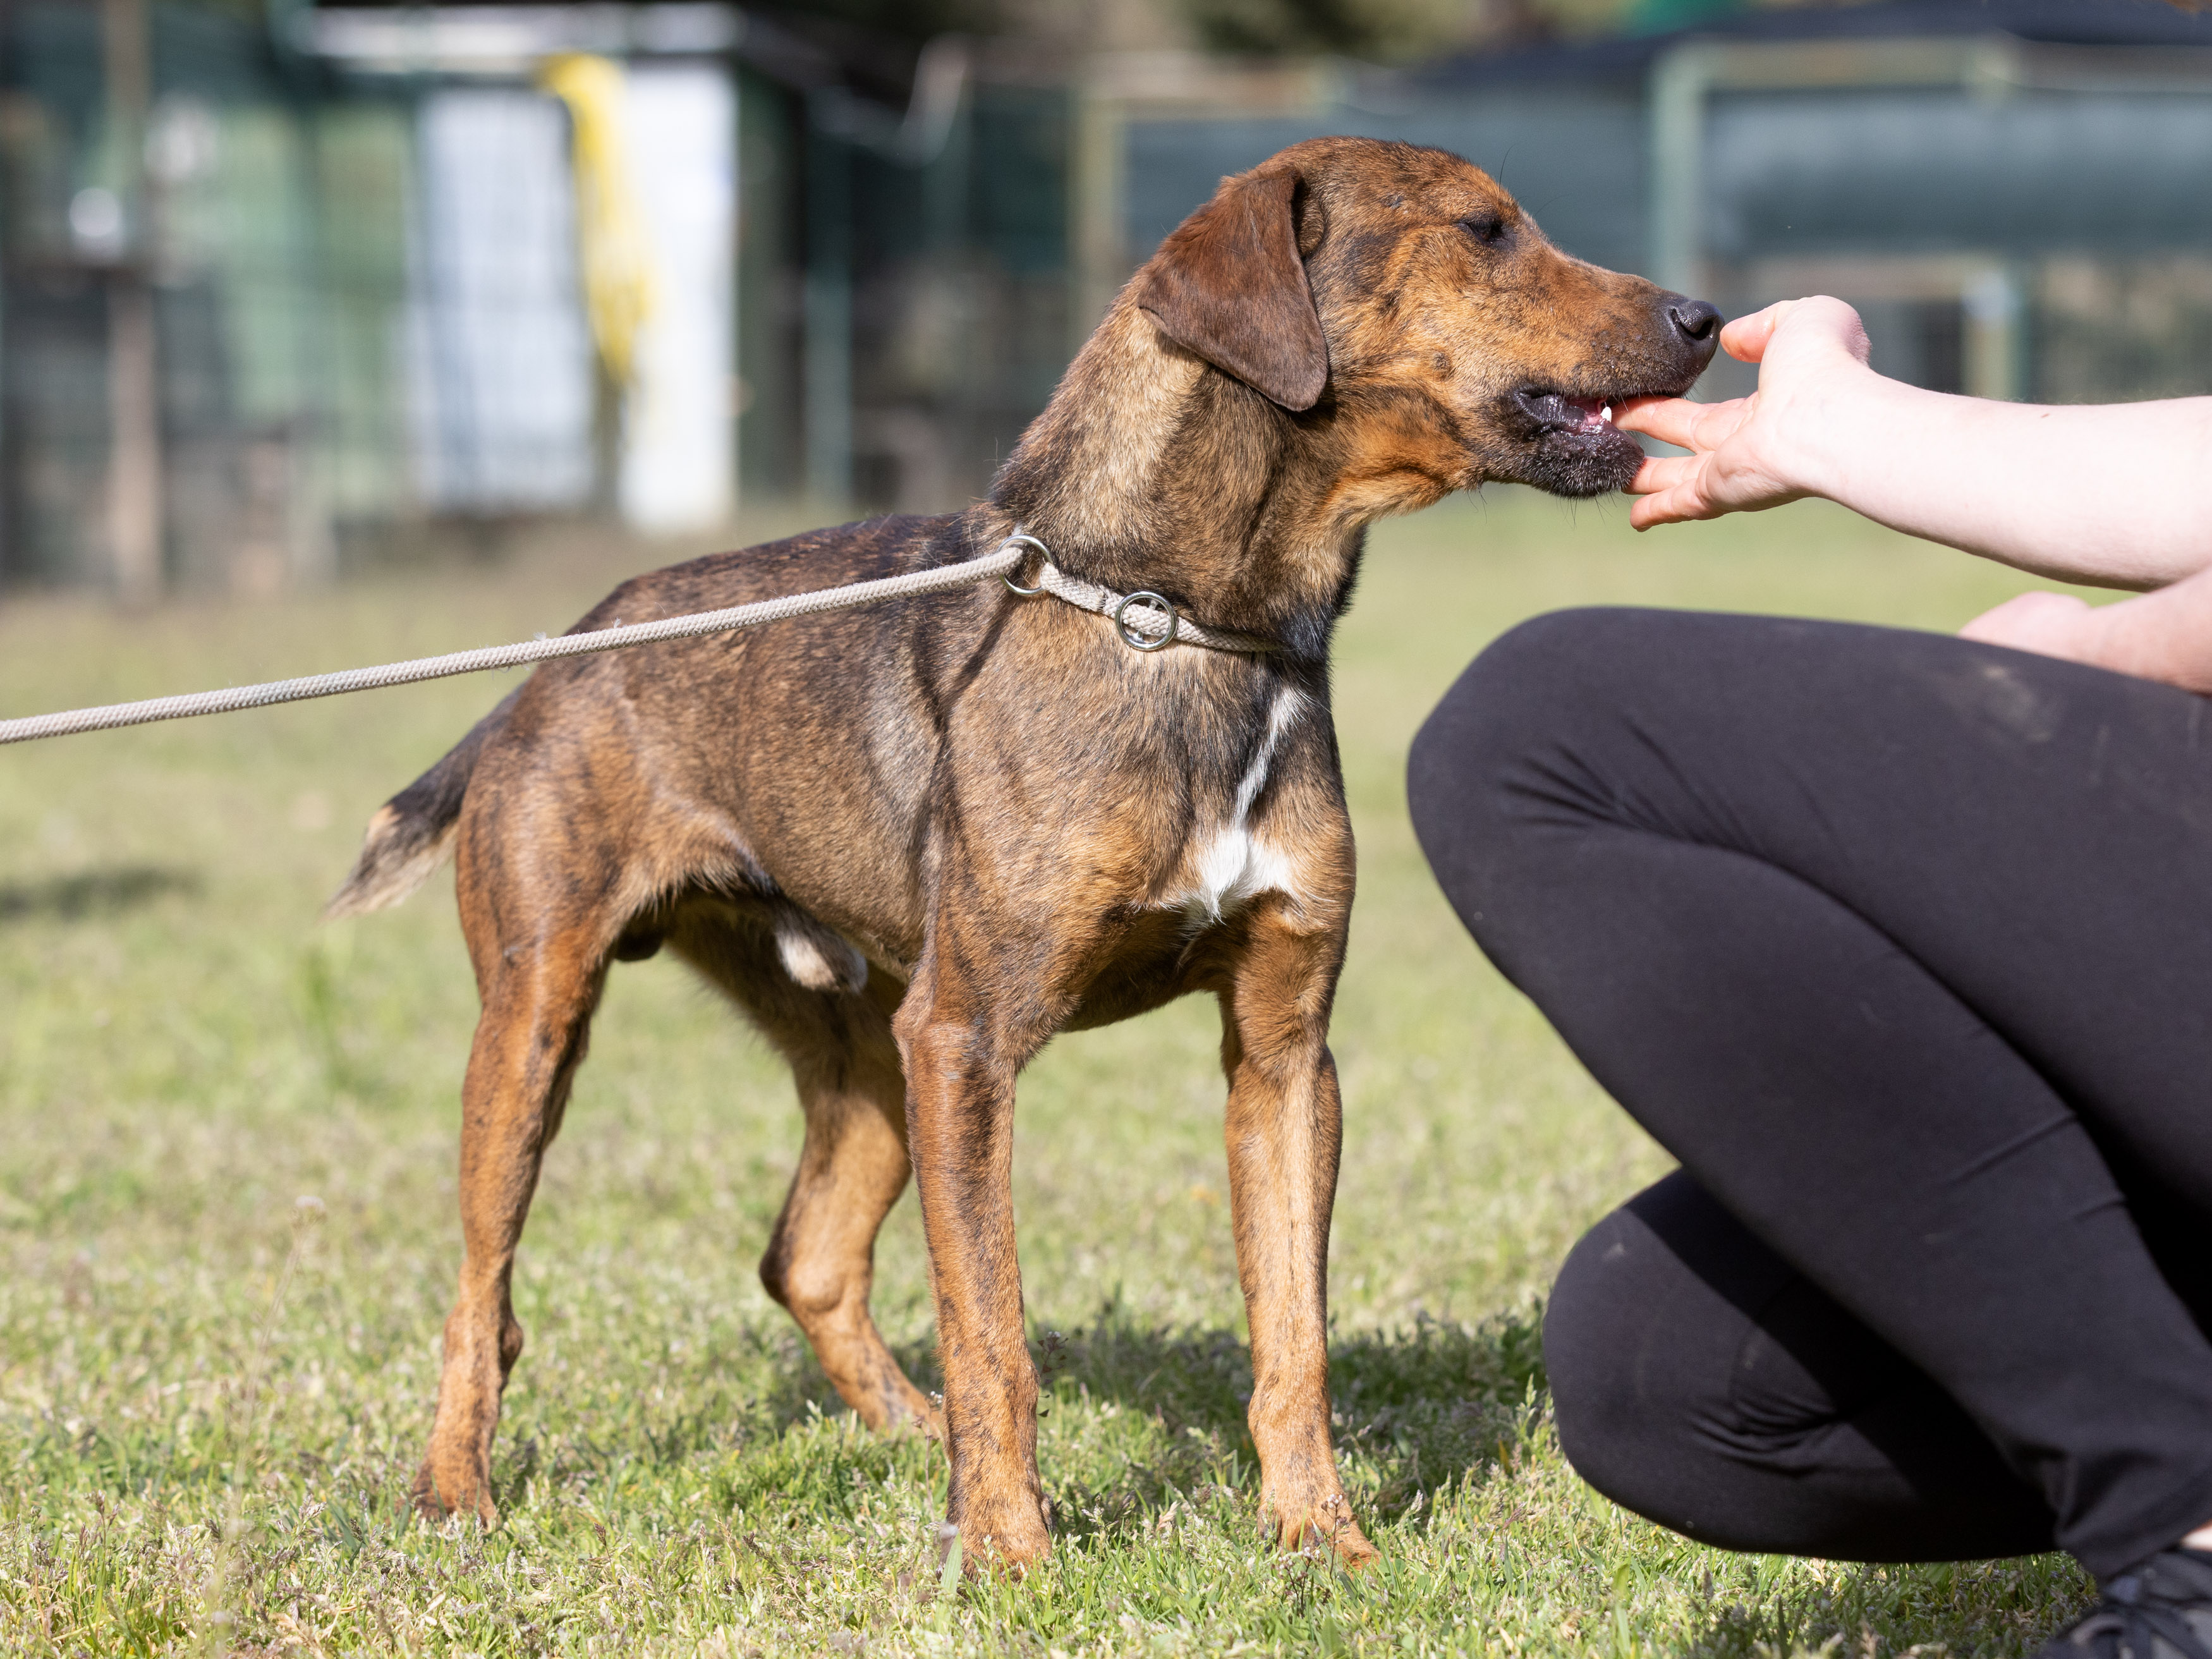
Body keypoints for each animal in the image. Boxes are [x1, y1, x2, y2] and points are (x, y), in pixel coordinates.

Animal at [329, 135, 1719, 1570]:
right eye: (1485, 231)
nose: (1706, 320)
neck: (1179, 623)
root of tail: (554, 661)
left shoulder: (1282, 1055)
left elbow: (1293, 1334)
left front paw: (1317, 1539)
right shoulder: (971, 1041)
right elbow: (993, 1332)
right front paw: (1007, 1555)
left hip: (870, 1060)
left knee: (806, 1257)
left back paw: (907, 1436)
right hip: (544, 1026)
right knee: (481, 1297)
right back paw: (456, 1494)